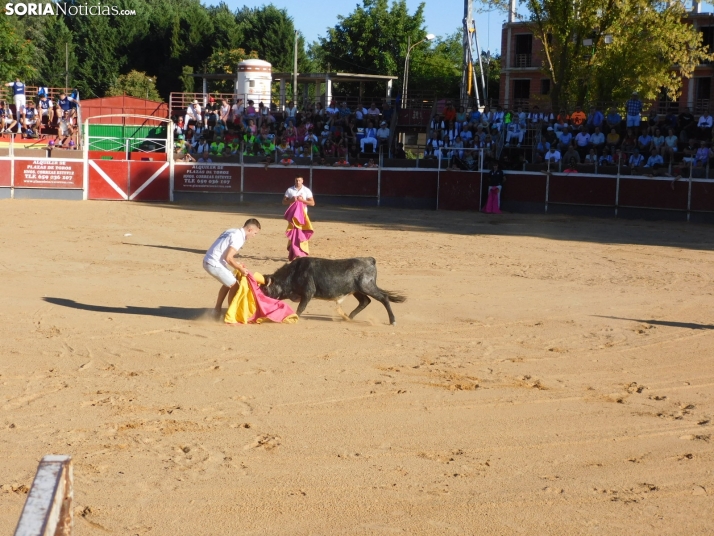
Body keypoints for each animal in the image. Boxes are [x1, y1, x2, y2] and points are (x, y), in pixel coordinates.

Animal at [262, 256, 406, 324]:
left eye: (265, 290)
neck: (293, 273)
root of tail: (370, 260)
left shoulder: (308, 293)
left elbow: (300, 308)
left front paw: (295, 316)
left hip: (367, 286)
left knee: (383, 298)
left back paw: (392, 321)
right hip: (357, 290)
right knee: (365, 301)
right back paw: (348, 317)